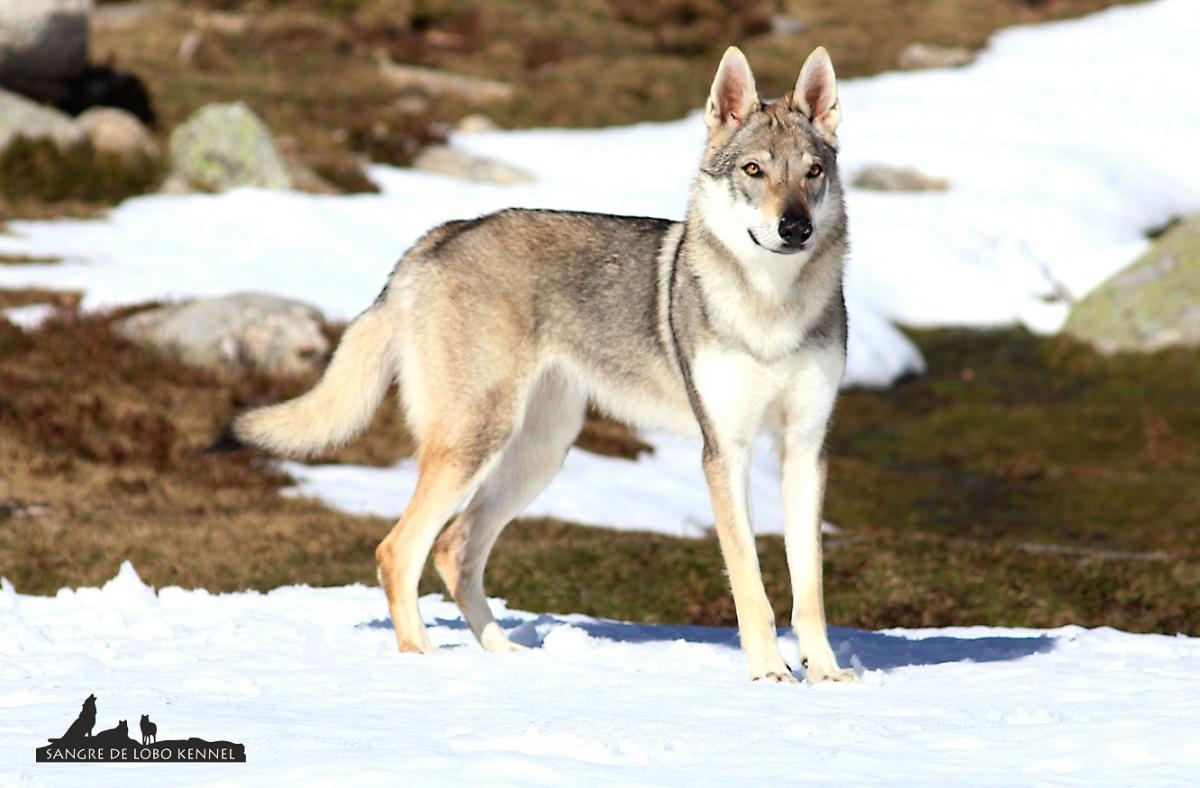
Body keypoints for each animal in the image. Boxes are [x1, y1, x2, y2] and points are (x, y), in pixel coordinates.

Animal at [211, 46, 859, 681]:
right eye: (753, 170)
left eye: (813, 172)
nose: (795, 227)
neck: (774, 307)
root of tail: (437, 239)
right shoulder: (725, 452)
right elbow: (751, 583)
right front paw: (770, 674)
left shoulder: (806, 449)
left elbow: (809, 588)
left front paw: (825, 674)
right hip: (477, 443)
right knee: (398, 549)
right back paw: (424, 660)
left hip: (538, 455)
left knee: (453, 548)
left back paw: (504, 657)